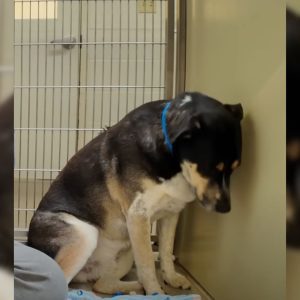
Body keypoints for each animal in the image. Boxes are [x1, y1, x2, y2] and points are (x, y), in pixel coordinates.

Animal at [28, 91, 243, 292]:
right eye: (211, 168)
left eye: (235, 168)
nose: (226, 208)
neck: (172, 161)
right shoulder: (138, 216)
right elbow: (147, 265)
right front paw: (156, 293)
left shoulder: (171, 213)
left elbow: (166, 251)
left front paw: (171, 278)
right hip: (84, 234)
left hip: (125, 252)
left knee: (102, 285)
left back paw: (134, 287)